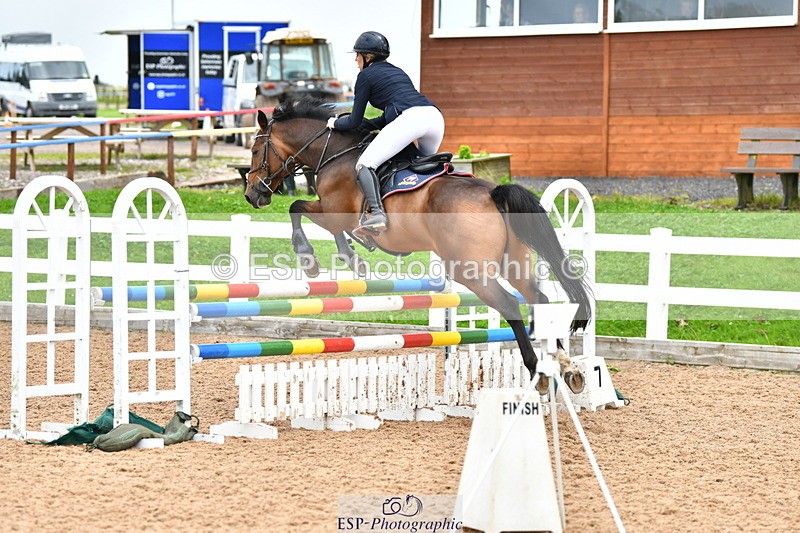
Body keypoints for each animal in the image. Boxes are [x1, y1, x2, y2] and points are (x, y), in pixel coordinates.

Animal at [242, 96, 593, 393]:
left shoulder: (333, 213)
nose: (251, 195)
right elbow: (317, 220)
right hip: (513, 262)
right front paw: (353, 257)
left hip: (471, 271)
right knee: (540, 299)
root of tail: (494, 193)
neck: (333, 153)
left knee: (509, 304)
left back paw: (537, 371)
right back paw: (568, 367)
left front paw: (313, 259)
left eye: (256, 151)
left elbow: (297, 208)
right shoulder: (334, 215)